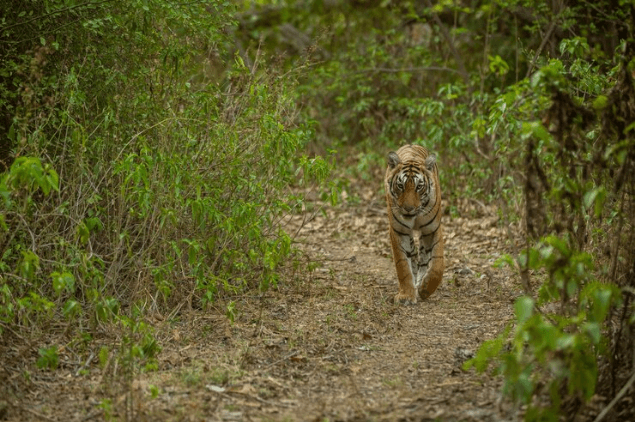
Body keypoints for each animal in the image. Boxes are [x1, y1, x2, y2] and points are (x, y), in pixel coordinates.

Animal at [386, 144, 444, 304]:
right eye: (400, 186)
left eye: (419, 187)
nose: (408, 208)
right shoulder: (399, 231)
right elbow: (403, 266)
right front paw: (406, 295)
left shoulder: (432, 229)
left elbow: (437, 265)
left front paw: (425, 290)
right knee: (412, 256)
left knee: (423, 259)